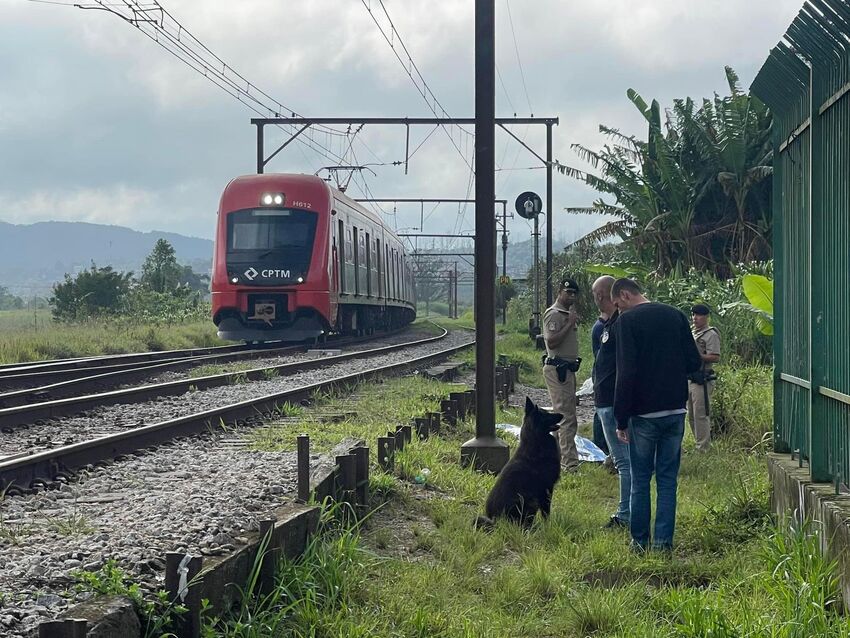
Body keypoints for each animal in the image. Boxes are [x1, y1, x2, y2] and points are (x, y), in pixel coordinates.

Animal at [476, 400, 564, 528]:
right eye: (547, 414)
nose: (562, 415)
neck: (535, 442)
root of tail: (496, 522)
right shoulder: (547, 488)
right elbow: (546, 512)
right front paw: (548, 525)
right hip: (531, 502)